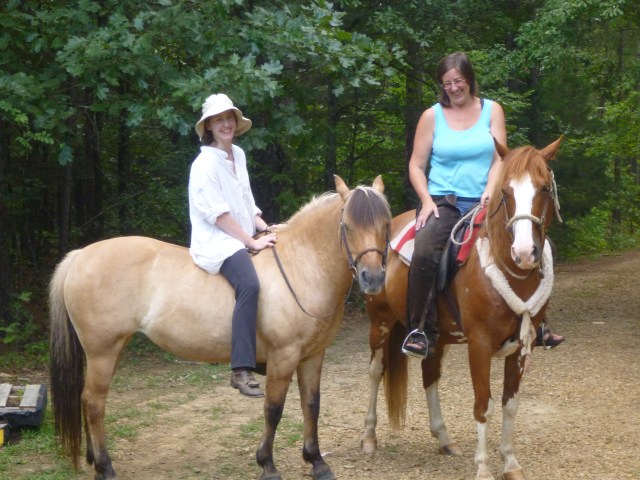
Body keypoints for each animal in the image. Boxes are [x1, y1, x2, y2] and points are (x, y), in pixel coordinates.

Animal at [49, 175, 392, 480]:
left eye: (386, 225)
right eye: (347, 226)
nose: (372, 278)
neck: (301, 266)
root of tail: (80, 255)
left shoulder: (312, 357)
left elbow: (312, 406)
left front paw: (316, 462)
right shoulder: (283, 357)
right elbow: (274, 409)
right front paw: (267, 465)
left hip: (110, 349)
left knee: (88, 400)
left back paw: (93, 459)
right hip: (102, 351)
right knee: (93, 402)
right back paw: (105, 467)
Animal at [361, 138, 563, 480]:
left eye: (544, 189)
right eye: (506, 192)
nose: (524, 253)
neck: (509, 270)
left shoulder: (523, 346)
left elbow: (510, 404)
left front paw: (510, 462)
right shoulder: (479, 345)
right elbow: (483, 405)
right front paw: (483, 467)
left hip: (435, 335)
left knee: (430, 375)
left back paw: (443, 439)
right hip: (381, 322)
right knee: (377, 372)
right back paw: (369, 438)